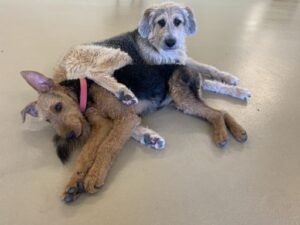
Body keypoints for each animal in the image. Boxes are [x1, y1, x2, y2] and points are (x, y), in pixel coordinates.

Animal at [20, 62, 246, 202]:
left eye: (58, 107)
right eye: (48, 120)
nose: (70, 136)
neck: (85, 92)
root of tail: (191, 69)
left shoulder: (124, 119)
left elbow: (106, 147)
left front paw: (93, 177)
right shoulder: (102, 125)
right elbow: (86, 155)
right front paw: (74, 184)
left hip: (181, 97)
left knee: (217, 113)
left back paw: (223, 135)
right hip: (184, 102)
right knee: (220, 112)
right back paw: (237, 132)